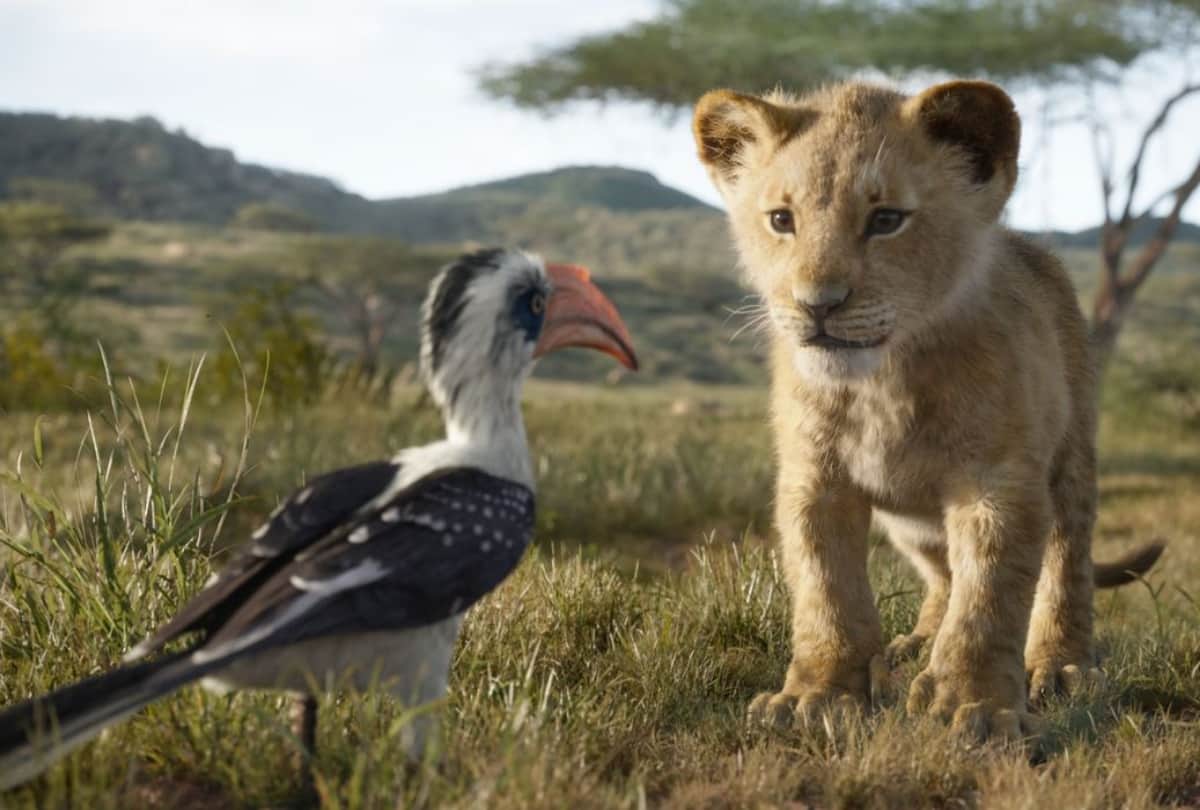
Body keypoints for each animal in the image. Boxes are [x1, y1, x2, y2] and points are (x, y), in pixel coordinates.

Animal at [691, 79, 1164, 739]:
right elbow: (825, 590)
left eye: (886, 219)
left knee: (1066, 562)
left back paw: (1061, 666)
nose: (817, 305)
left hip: (1072, 459)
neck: (882, 383)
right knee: (943, 574)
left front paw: (976, 706)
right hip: (910, 523)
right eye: (782, 220)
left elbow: (989, 598)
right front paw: (816, 696)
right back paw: (915, 643)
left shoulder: (998, 482)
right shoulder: (815, 479)